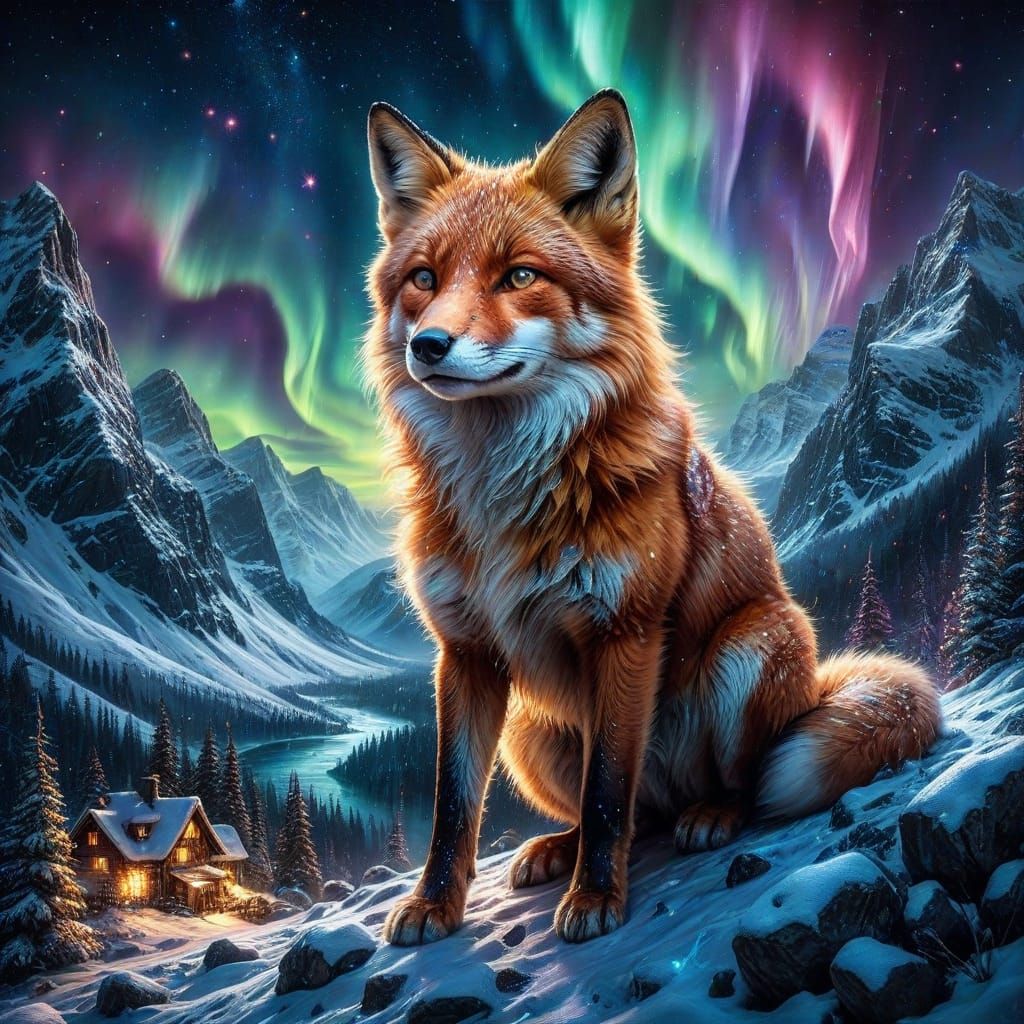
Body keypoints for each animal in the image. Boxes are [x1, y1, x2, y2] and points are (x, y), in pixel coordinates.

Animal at [363, 89, 941, 945]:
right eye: (424, 279)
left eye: (520, 275)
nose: (430, 345)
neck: (502, 493)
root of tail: (813, 688)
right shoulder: (464, 653)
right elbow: (453, 806)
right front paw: (436, 905)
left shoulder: (625, 632)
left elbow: (609, 789)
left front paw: (597, 900)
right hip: (531, 730)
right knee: (634, 815)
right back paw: (557, 848)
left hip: (750, 646)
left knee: (726, 785)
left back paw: (712, 815)